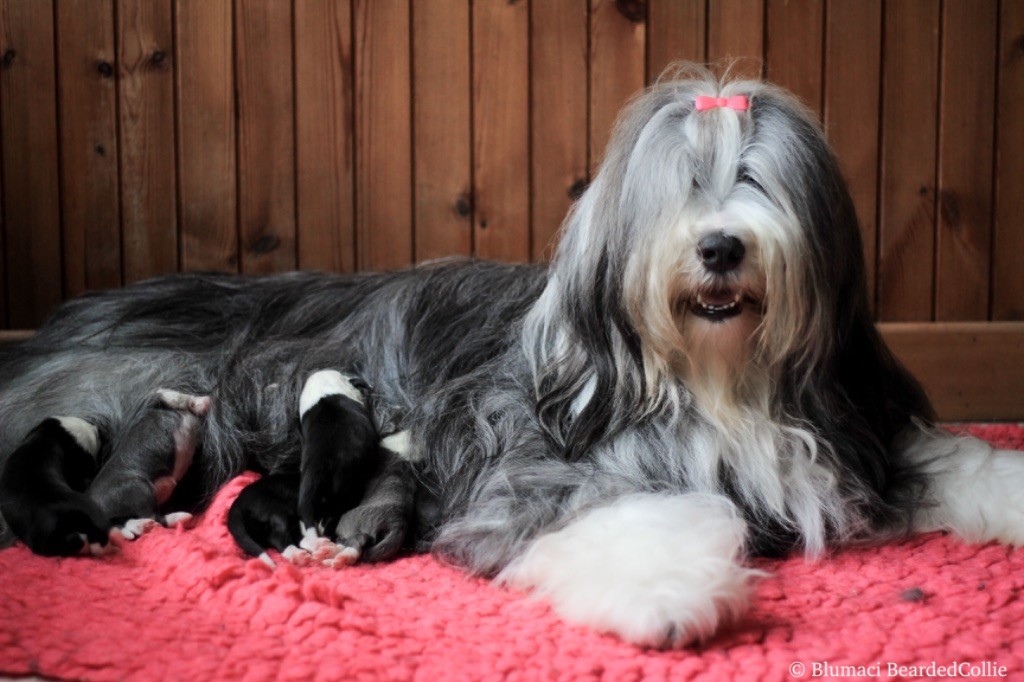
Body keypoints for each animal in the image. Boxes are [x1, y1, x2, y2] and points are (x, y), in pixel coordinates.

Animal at [2, 67, 1024, 643]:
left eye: (754, 177)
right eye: (679, 187)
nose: (721, 247)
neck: (716, 379)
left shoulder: (849, 430)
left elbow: (950, 457)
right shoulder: (543, 459)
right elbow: (621, 512)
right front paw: (668, 591)